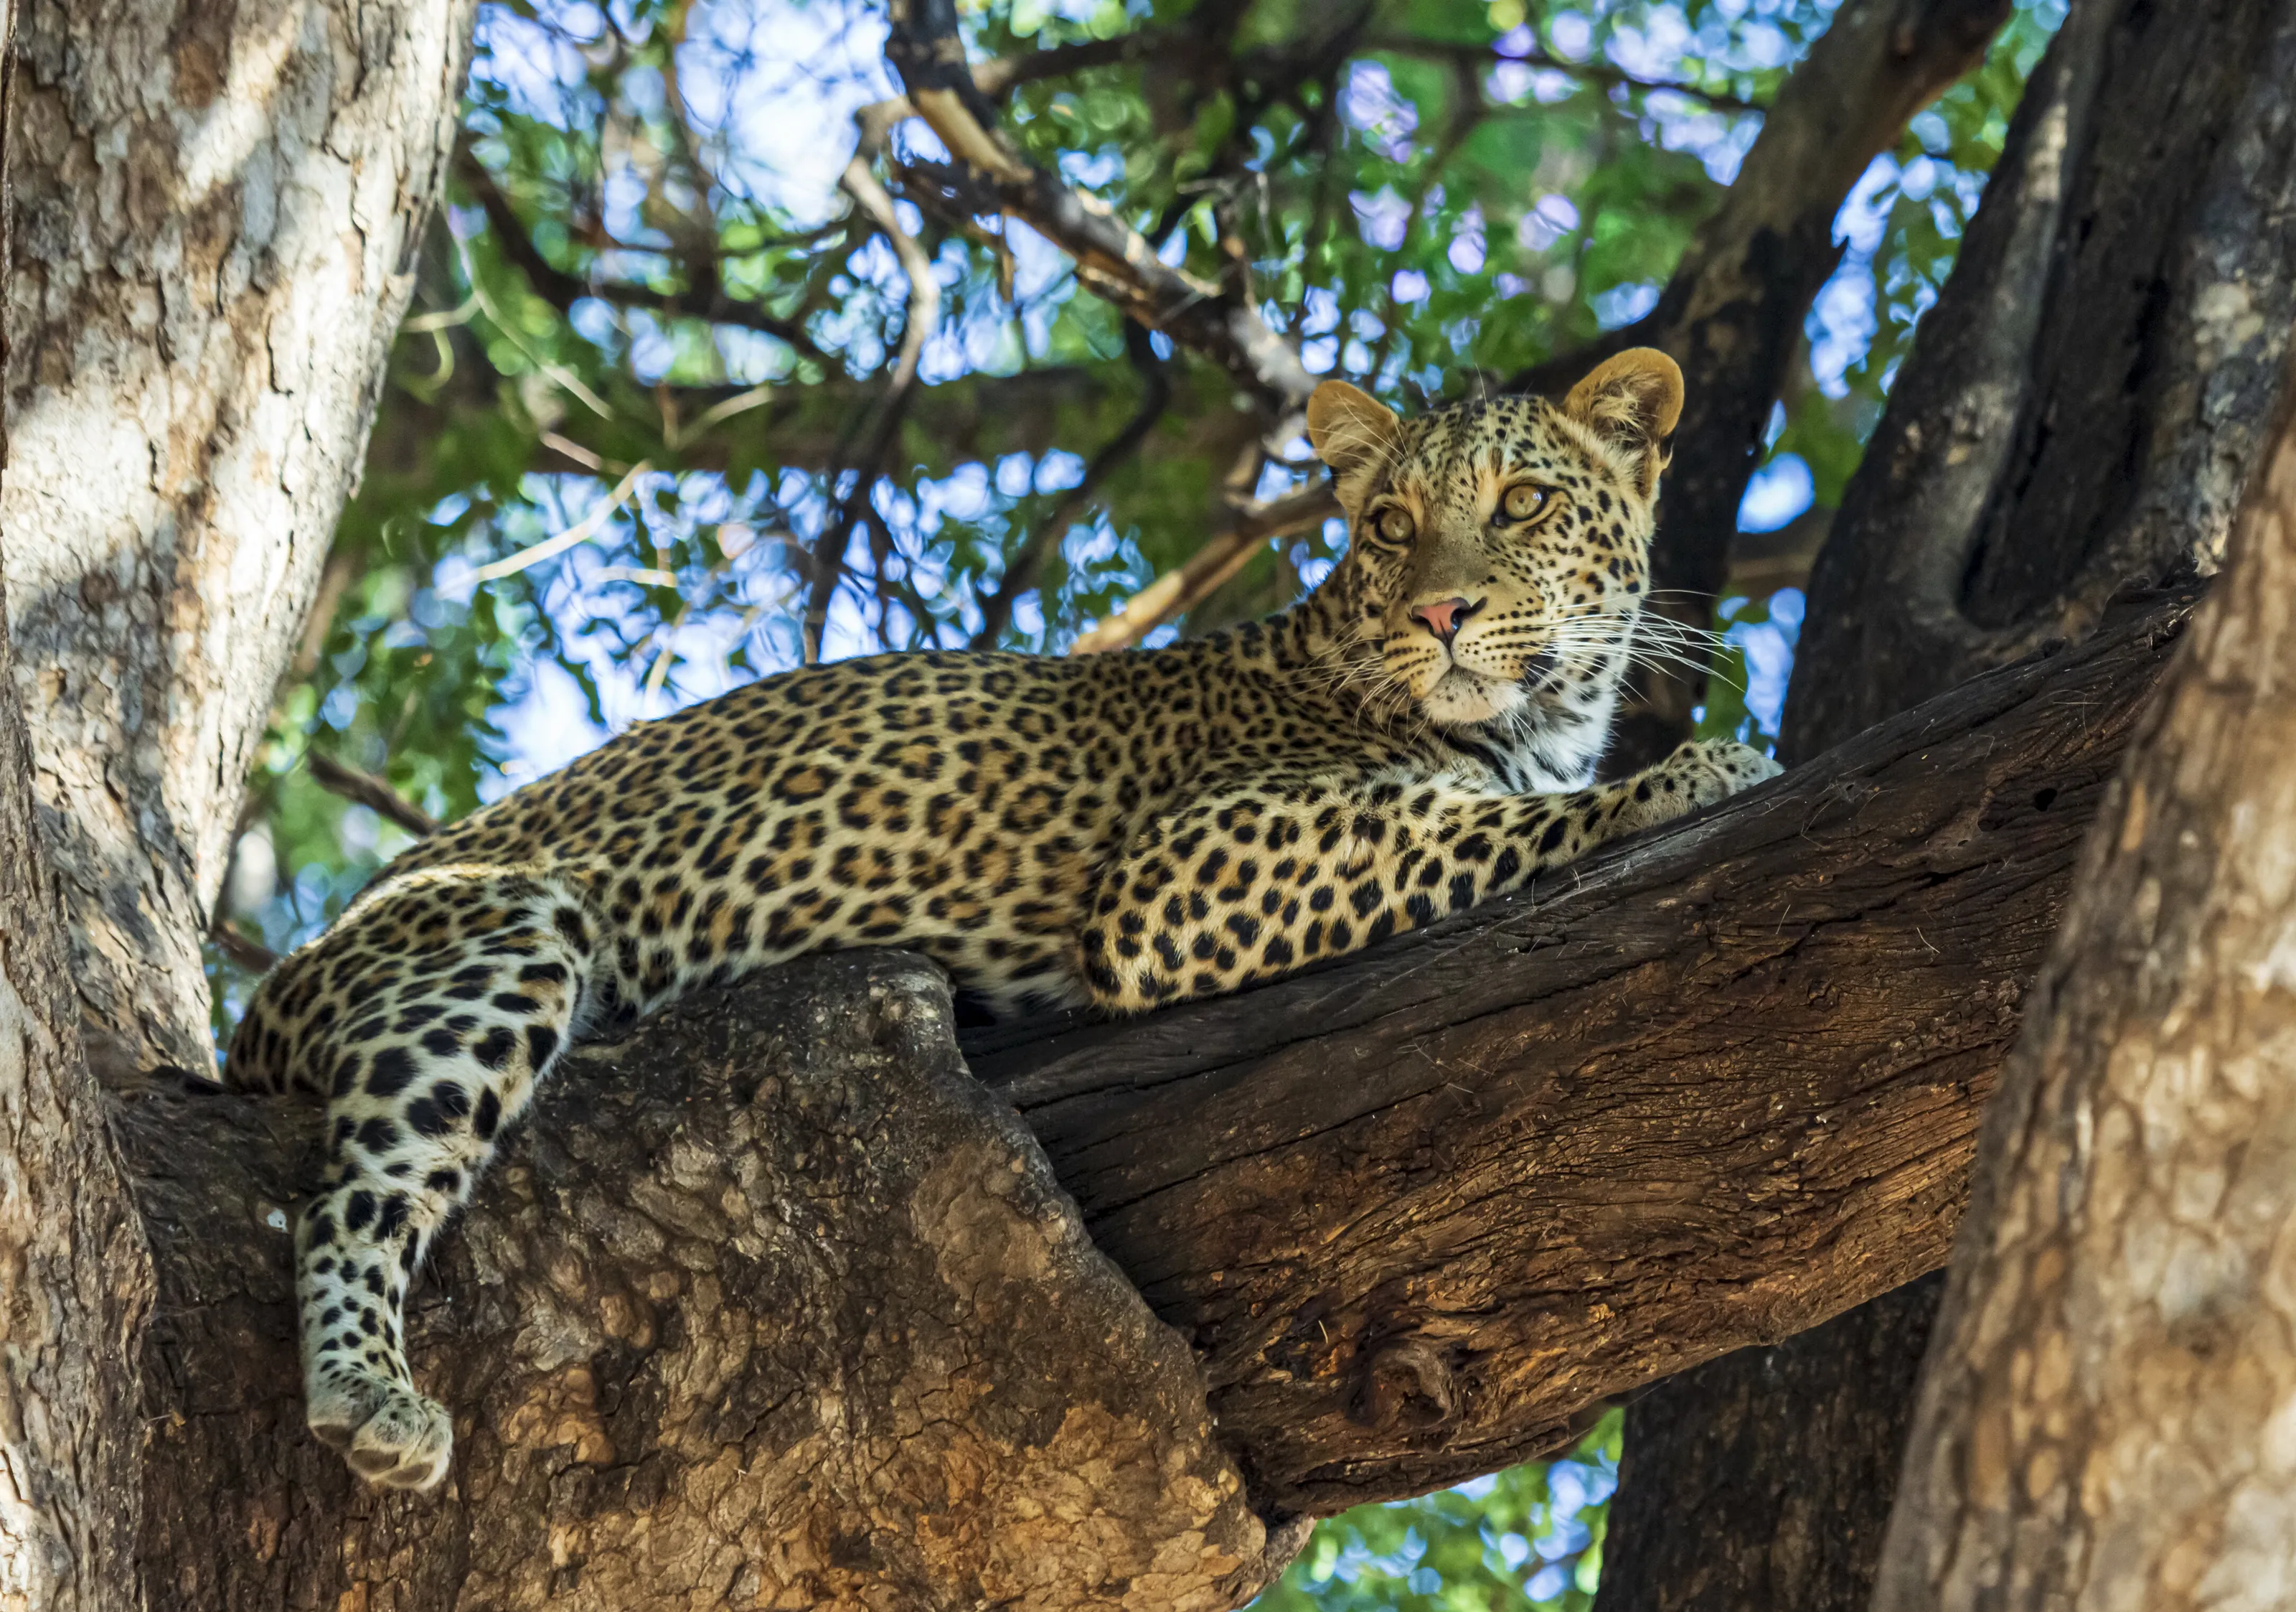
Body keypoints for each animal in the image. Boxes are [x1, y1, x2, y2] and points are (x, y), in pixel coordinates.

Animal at [224, 347, 1782, 1491]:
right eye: (1391, 527)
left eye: (1522, 504)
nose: (1444, 613)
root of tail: (269, 990)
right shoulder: (1184, 866)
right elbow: (1476, 824)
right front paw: (1691, 773)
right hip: (504, 925)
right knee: (356, 1192)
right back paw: (369, 1391)